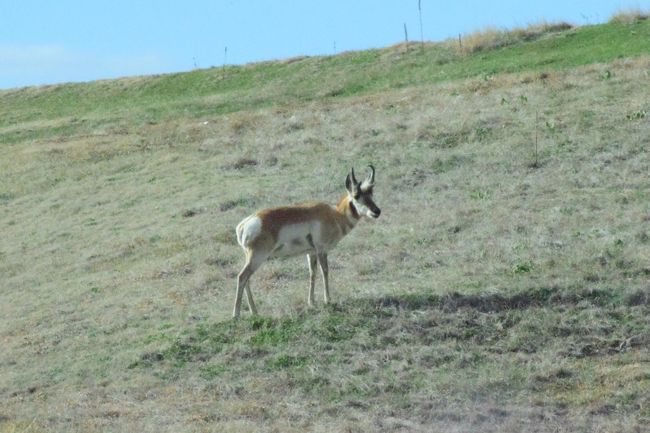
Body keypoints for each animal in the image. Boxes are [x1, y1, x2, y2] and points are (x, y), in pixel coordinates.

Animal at [232, 165, 380, 318]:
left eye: (371, 193)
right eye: (356, 196)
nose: (377, 211)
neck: (335, 214)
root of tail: (244, 224)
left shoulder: (311, 253)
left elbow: (312, 273)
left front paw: (312, 302)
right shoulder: (322, 250)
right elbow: (325, 271)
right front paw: (328, 300)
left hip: (252, 259)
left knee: (247, 279)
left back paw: (254, 312)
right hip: (257, 257)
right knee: (242, 277)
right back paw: (236, 315)